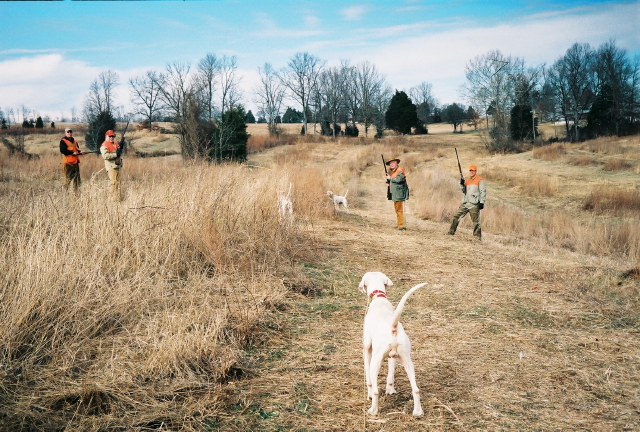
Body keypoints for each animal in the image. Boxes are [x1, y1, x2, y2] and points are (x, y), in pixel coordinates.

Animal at [358, 272, 428, 416]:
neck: (379, 299)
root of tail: (393, 328)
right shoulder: (393, 356)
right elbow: (390, 374)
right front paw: (390, 390)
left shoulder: (367, 349)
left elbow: (369, 381)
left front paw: (369, 395)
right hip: (408, 362)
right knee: (416, 390)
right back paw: (418, 412)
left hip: (375, 362)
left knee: (376, 391)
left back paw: (373, 410)